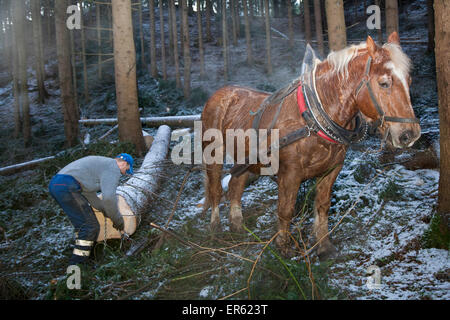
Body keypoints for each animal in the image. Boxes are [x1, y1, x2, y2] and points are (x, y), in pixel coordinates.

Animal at [202, 33, 420, 260]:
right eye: (384, 83)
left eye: (409, 81)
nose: (410, 134)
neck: (314, 118)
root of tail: (220, 93)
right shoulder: (290, 174)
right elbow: (286, 210)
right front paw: (283, 248)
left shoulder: (332, 170)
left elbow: (322, 206)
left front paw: (324, 246)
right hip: (213, 154)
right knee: (216, 189)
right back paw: (215, 228)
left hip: (245, 159)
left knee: (235, 186)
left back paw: (237, 227)